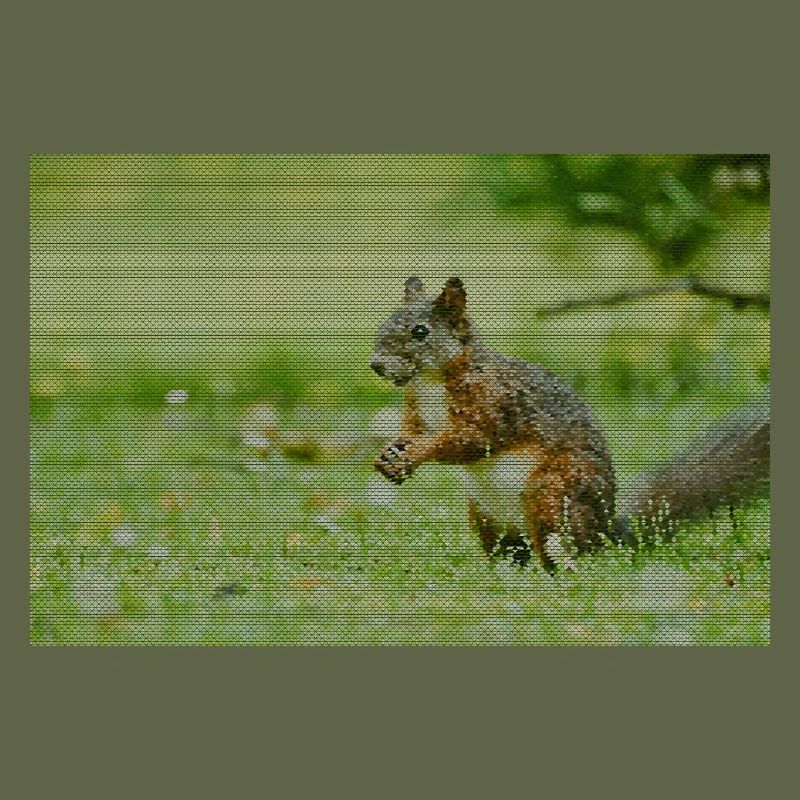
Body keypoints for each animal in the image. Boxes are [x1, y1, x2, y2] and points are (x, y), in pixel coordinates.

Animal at [370, 276, 770, 570]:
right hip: (485, 516)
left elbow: (471, 439)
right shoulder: (417, 410)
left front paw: (416, 453)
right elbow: (411, 430)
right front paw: (390, 453)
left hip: (553, 493)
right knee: (513, 552)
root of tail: (606, 530)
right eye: (384, 322)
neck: (431, 381)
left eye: (420, 332)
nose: (376, 365)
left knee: (567, 548)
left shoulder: (497, 403)